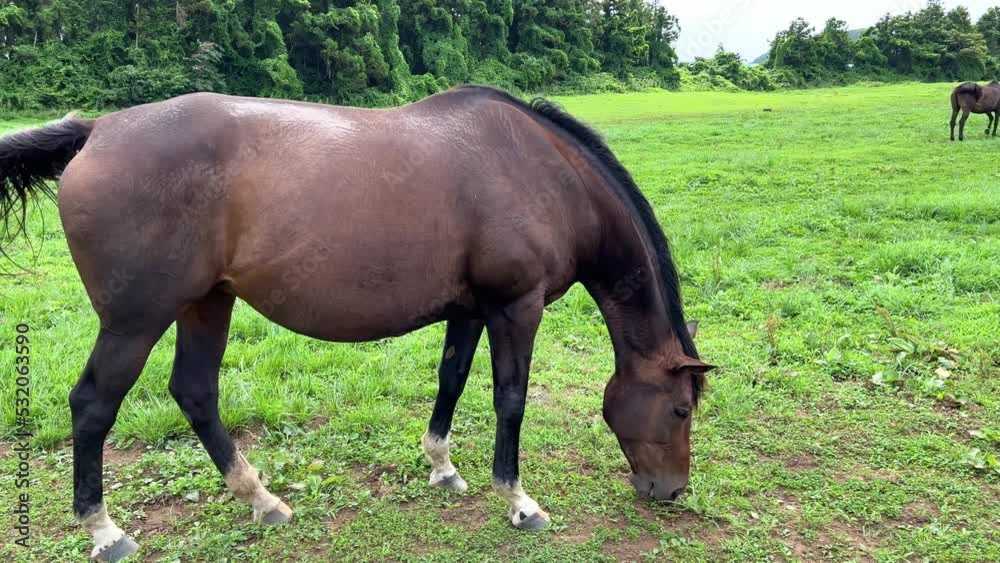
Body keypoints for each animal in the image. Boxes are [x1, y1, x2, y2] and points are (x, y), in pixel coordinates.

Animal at [0, 86, 713, 561]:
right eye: (681, 410)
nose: (671, 491)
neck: (541, 171)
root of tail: (98, 129)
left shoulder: (469, 310)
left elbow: (451, 380)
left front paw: (442, 467)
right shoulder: (517, 306)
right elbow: (510, 399)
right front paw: (519, 502)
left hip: (207, 302)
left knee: (195, 392)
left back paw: (261, 500)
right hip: (135, 320)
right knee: (94, 405)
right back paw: (106, 531)